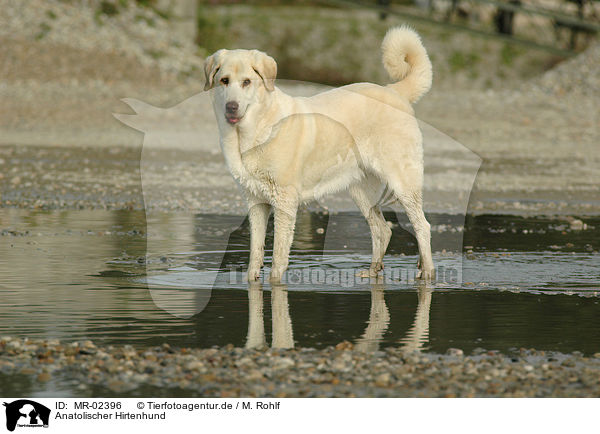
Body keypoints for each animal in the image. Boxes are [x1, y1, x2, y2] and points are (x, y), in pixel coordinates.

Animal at [204, 25, 434, 284]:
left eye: (246, 82)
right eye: (224, 81)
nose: (231, 106)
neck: (253, 132)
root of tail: (394, 91)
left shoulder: (285, 201)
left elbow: (278, 256)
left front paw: (275, 284)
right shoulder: (255, 201)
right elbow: (256, 250)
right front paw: (252, 282)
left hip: (403, 183)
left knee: (422, 226)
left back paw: (427, 272)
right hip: (361, 191)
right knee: (382, 230)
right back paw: (373, 271)